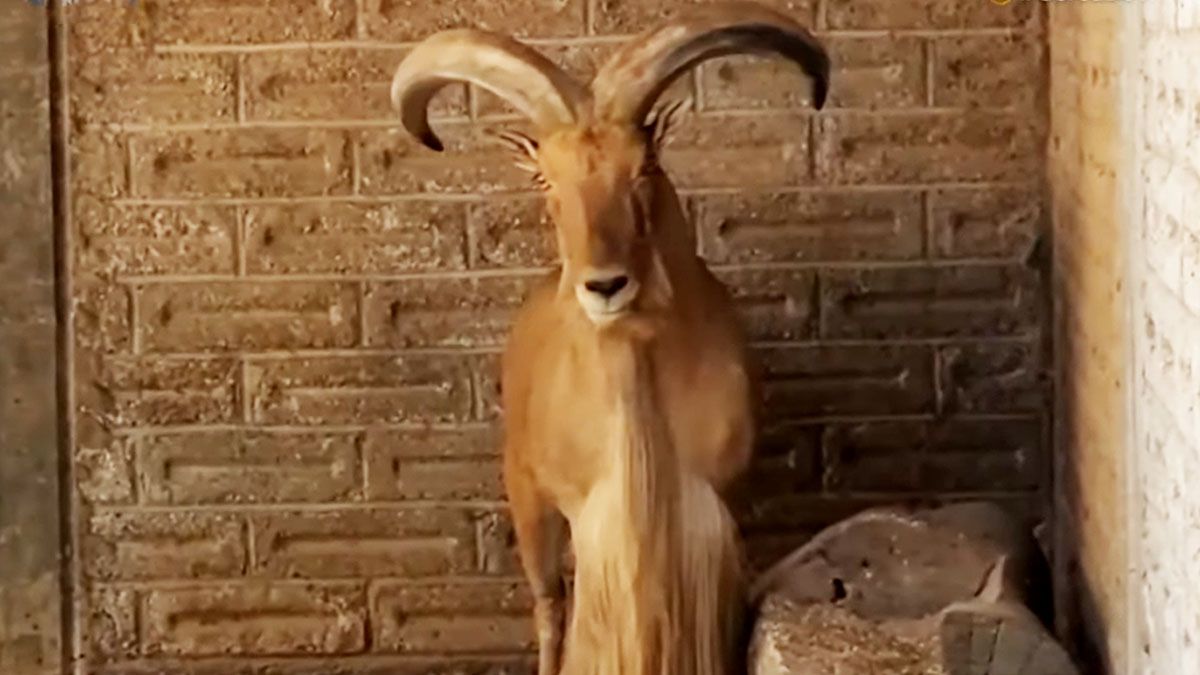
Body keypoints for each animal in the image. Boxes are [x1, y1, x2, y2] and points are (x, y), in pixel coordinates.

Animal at [390, 4, 829, 674]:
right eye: (545, 179)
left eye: (643, 167)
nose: (604, 285)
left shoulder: (712, 511)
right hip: (528, 499)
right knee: (550, 607)